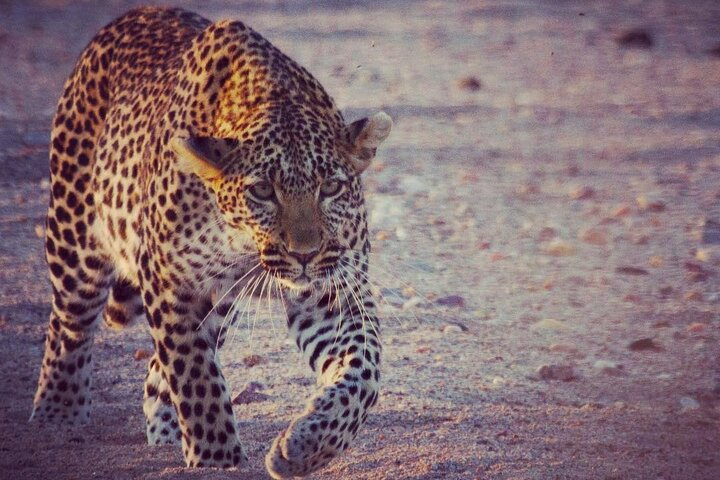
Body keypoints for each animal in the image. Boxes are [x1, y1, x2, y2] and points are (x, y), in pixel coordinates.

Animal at [28, 6, 392, 479]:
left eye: (330, 187)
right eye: (262, 191)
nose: (305, 255)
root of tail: (139, 11)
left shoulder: (332, 291)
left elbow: (363, 371)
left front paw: (306, 446)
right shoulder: (171, 285)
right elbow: (196, 379)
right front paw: (218, 460)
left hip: (221, 302)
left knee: (158, 367)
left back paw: (165, 434)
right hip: (75, 236)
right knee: (70, 324)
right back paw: (57, 416)